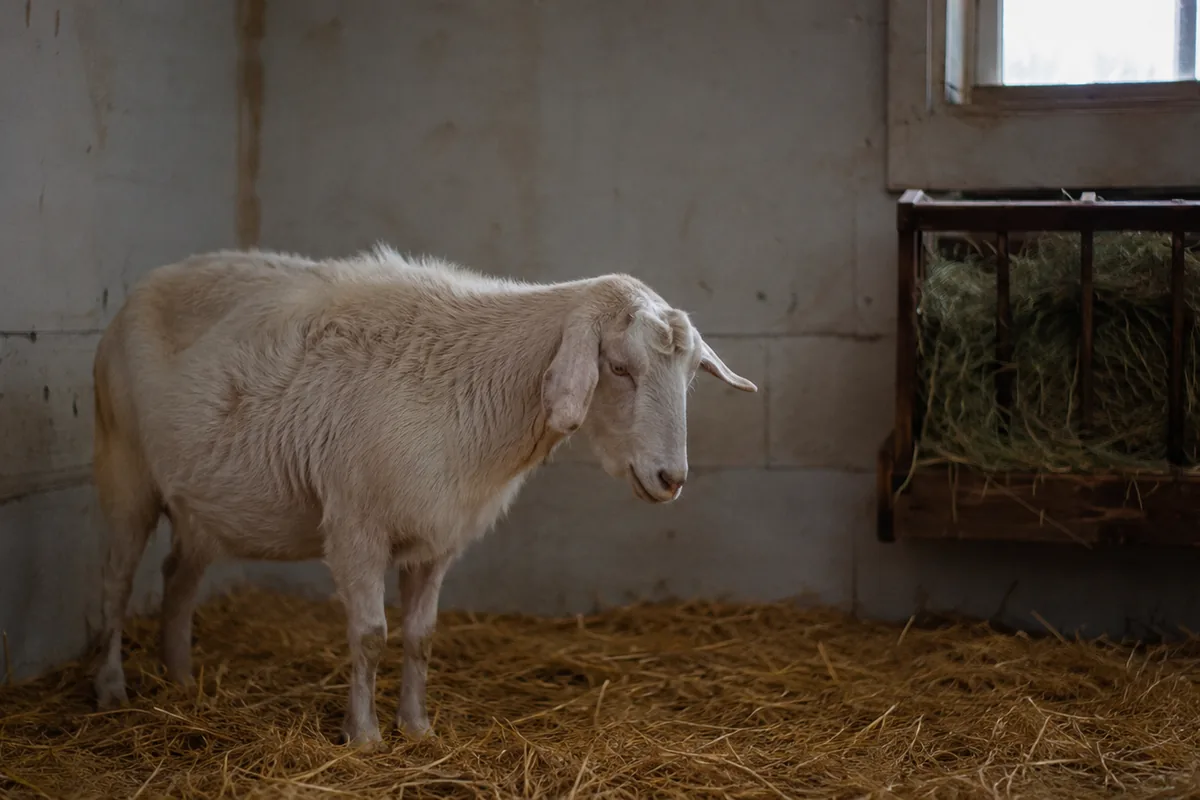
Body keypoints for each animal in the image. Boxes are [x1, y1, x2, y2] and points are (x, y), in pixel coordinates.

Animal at [91, 245, 757, 749]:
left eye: (691, 373)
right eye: (618, 368)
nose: (671, 477)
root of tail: (151, 281)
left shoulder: (437, 537)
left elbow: (421, 637)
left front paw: (417, 729)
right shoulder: (355, 526)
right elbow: (369, 636)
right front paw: (363, 738)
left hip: (201, 503)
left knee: (177, 578)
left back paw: (181, 682)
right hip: (123, 467)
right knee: (116, 583)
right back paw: (111, 691)